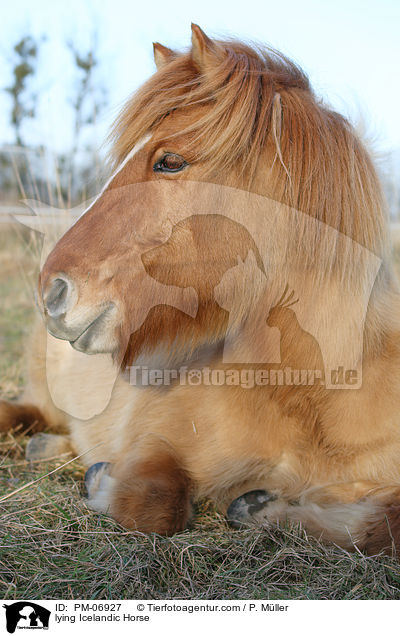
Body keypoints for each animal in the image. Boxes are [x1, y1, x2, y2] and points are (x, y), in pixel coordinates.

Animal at [2, 26, 400, 552]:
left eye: (170, 161)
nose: (53, 290)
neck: (311, 401)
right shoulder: (156, 440)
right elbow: (152, 501)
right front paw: (102, 482)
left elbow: (382, 526)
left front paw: (266, 510)